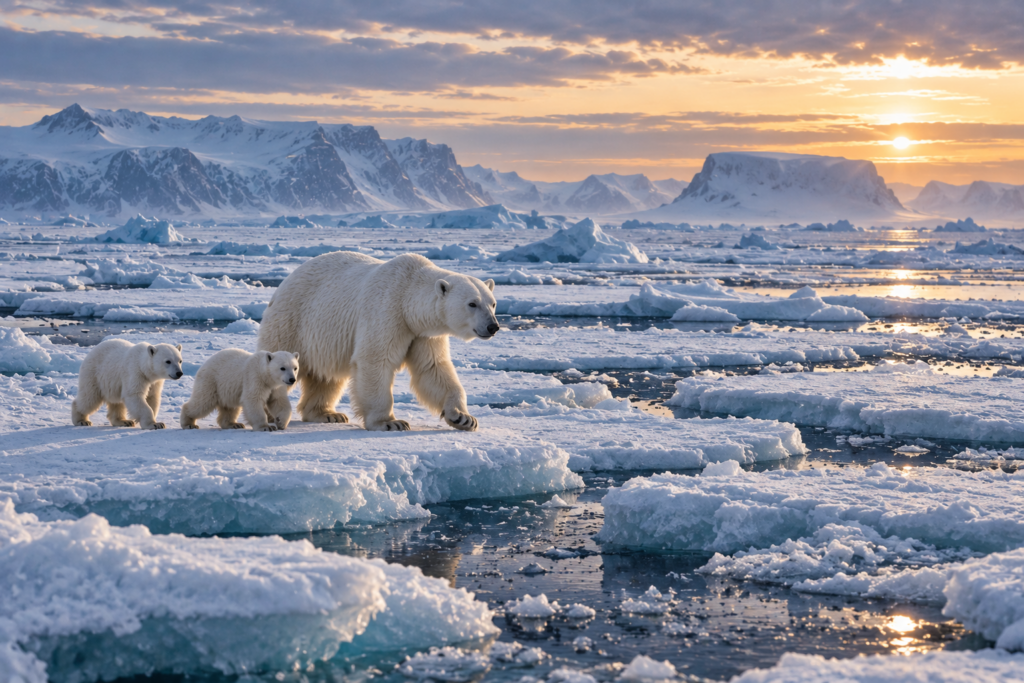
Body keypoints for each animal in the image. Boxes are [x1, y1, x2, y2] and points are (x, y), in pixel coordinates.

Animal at [257, 252, 499, 432]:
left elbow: (433, 368)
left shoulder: (422, 334)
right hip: (293, 322)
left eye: (493, 303)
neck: (407, 296)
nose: (493, 326)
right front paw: (391, 423)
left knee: (327, 377)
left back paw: (328, 414)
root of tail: (283, 284)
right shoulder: (387, 312)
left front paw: (464, 418)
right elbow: (375, 360)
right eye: (472, 304)